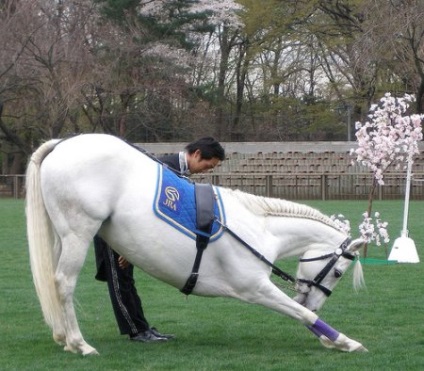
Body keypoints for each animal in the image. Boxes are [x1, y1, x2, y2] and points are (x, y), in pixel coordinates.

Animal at [24, 134, 366, 358]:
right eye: (337, 272)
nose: (316, 302)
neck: (259, 229)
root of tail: (63, 143)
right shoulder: (255, 288)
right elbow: (301, 314)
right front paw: (345, 341)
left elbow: (301, 314)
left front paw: (329, 339)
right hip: (78, 234)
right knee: (63, 283)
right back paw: (79, 343)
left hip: (61, 236)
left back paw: (65, 336)